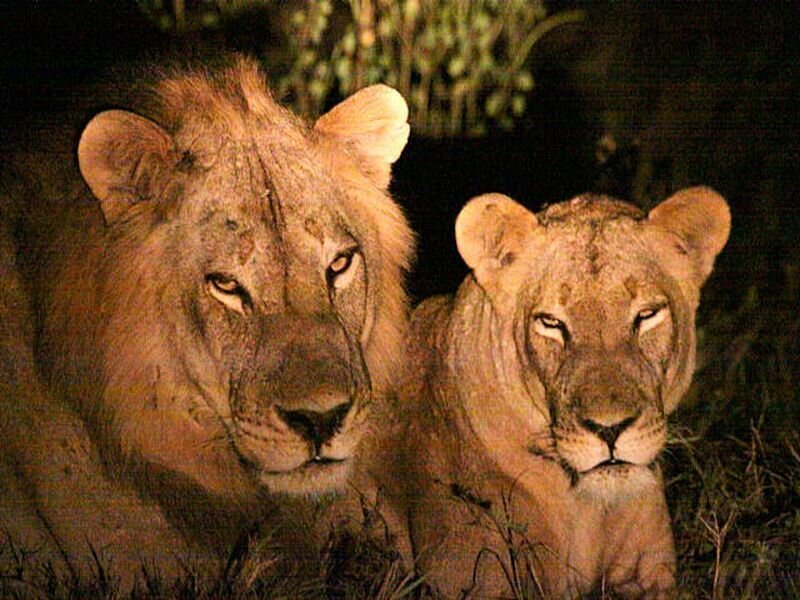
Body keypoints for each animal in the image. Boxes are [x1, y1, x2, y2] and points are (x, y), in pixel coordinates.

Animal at [380, 188, 730, 597]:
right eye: (550, 323)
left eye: (646, 315)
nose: (609, 429)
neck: (592, 513)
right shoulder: (472, 580)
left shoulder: (652, 576)